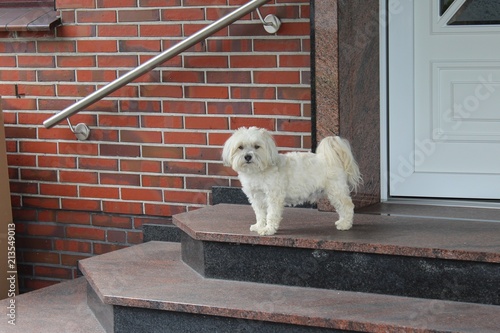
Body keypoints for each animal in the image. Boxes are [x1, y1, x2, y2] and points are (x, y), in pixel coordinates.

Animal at [222, 126, 360, 235]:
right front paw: (259, 226)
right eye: (240, 147)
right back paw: (342, 221)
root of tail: (331, 158)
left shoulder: (274, 196)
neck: (258, 171)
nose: (248, 156)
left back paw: (345, 224)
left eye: (257, 146)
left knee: (347, 206)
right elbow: (260, 214)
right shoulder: (256, 197)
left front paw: (268, 229)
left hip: (336, 191)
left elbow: (271, 214)